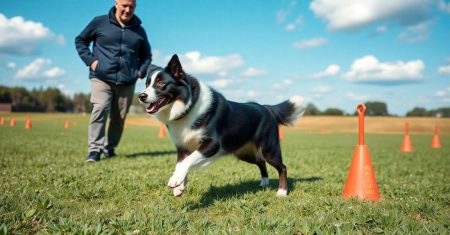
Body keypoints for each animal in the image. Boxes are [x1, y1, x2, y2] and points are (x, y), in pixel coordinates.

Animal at [139, 55, 304, 196]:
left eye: (161, 83)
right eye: (146, 84)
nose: (141, 96)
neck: (189, 106)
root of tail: (266, 107)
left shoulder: (213, 144)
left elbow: (188, 161)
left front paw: (175, 181)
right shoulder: (183, 146)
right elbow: (181, 164)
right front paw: (179, 186)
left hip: (268, 148)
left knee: (282, 167)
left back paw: (282, 191)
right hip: (244, 152)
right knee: (261, 162)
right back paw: (264, 183)